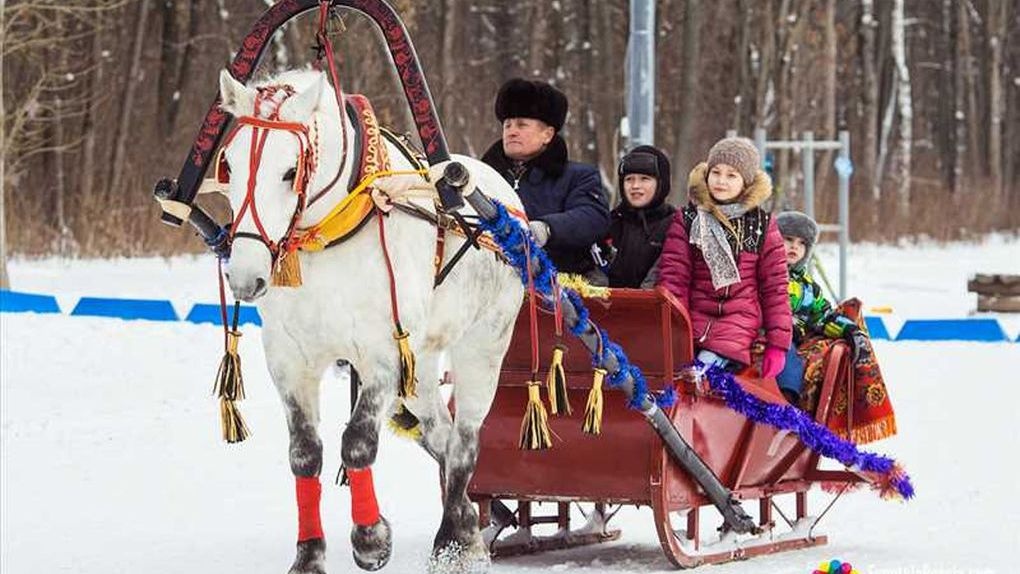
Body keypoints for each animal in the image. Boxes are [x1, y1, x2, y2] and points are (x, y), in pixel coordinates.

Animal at [217, 68, 526, 574]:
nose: (245, 276)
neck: (329, 236)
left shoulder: (383, 351)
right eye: (230, 164)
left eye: (290, 170)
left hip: (484, 345)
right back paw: (464, 527)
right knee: (439, 436)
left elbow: (358, 441)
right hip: (420, 363)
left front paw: (370, 538)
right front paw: (309, 556)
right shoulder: (289, 359)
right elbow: (305, 455)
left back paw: (453, 542)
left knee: (464, 443)